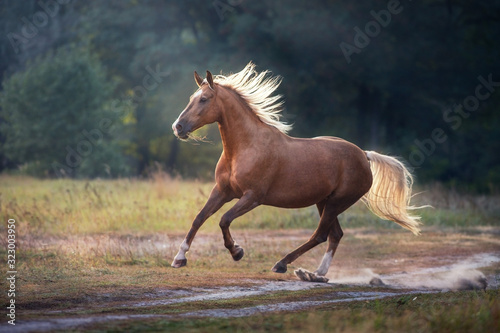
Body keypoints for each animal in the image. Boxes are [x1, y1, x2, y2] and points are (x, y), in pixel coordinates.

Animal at [172, 62, 422, 280]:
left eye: (204, 99)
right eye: (191, 98)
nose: (178, 127)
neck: (245, 148)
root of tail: (363, 154)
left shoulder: (252, 197)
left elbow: (224, 220)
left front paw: (237, 252)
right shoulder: (222, 191)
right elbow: (199, 218)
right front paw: (179, 258)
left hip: (337, 202)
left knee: (320, 235)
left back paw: (283, 264)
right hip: (324, 202)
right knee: (335, 235)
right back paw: (315, 274)